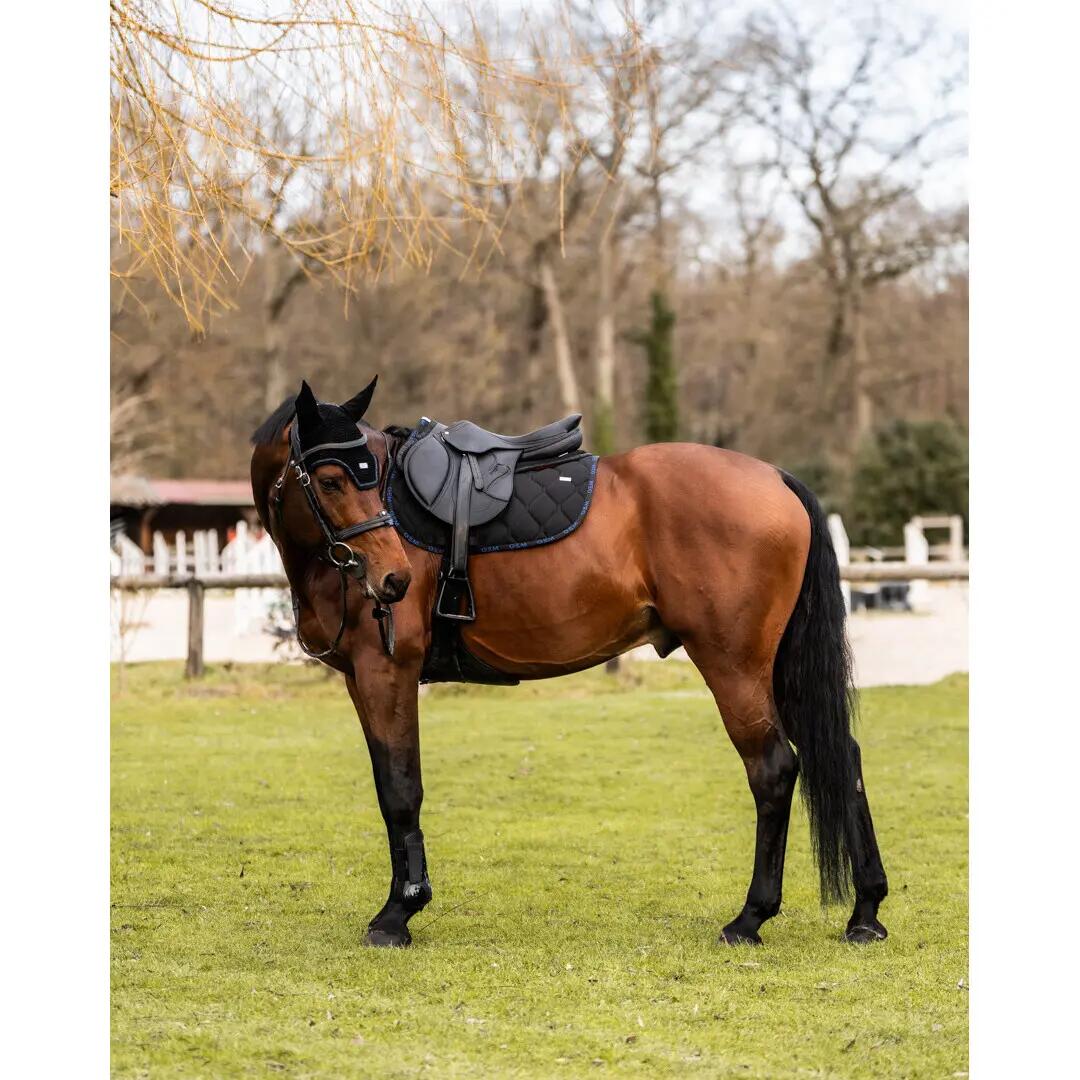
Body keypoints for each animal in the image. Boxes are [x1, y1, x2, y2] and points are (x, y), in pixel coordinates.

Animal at [249, 377, 888, 949]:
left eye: (368, 477)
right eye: (331, 479)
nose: (394, 579)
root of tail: (775, 477)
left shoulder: (388, 671)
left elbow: (401, 789)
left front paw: (397, 915)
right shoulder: (361, 680)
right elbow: (389, 787)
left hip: (735, 666)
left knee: (774, 769)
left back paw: (751, 917)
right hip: (777, 669)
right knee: (844, 755)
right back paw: (865, 912)